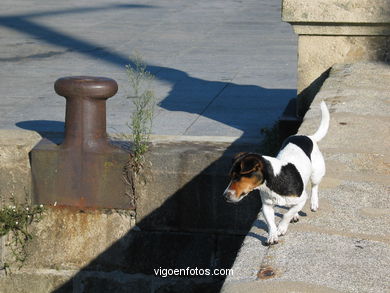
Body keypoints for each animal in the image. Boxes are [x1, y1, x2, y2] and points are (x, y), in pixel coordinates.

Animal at [222, 101, 330, 244]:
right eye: (231, 177)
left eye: (238, 177)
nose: (224, 196)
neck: (275, 180)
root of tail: (307, 137)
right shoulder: (266, 206)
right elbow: (271, 223)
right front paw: (272, 235)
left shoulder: (301, 199)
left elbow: (286, 214)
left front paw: (281, 228)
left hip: (316, 174)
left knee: (314, 187)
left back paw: (313, 203)